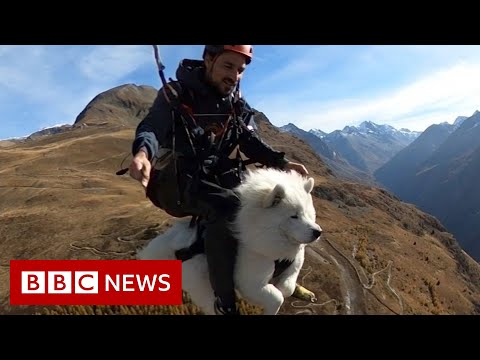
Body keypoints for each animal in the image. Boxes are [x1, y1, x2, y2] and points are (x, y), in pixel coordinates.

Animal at [136, 169, 322, 316]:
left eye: (308, 213)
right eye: (293, 216)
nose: (317, 232)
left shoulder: (295, 261)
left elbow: (288, 285)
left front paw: (286, 286)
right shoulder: (251, 283)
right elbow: (277, 297)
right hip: (202, 283)